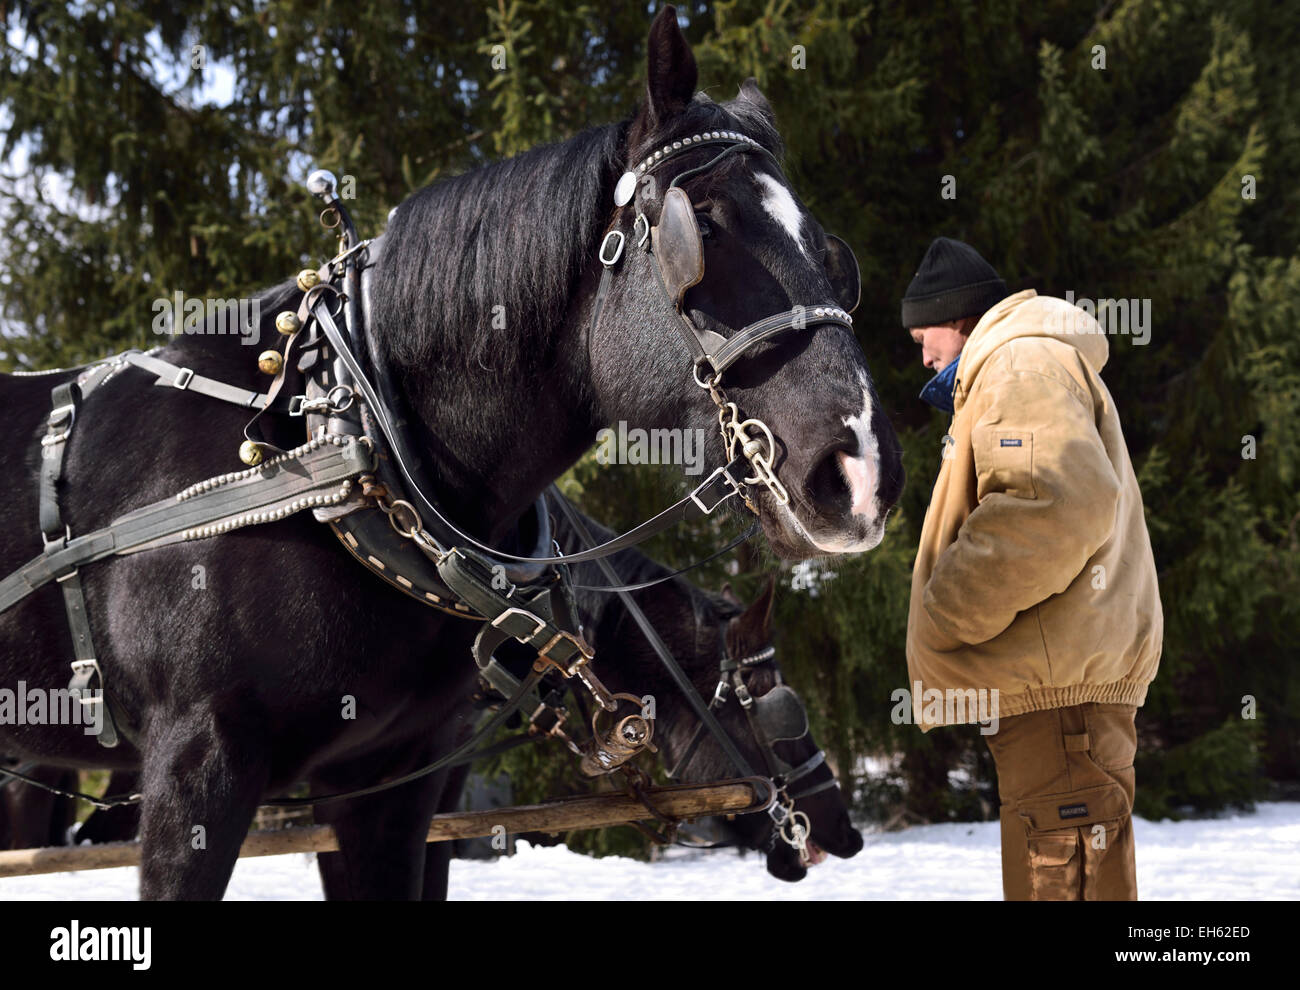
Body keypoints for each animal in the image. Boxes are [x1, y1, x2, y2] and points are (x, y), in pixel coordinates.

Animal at [0, 5, 899, 893]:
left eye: (831, 252)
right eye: (701, 227)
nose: (861, 471)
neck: (338, 448)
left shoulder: (394, 782)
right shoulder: (196, 764)